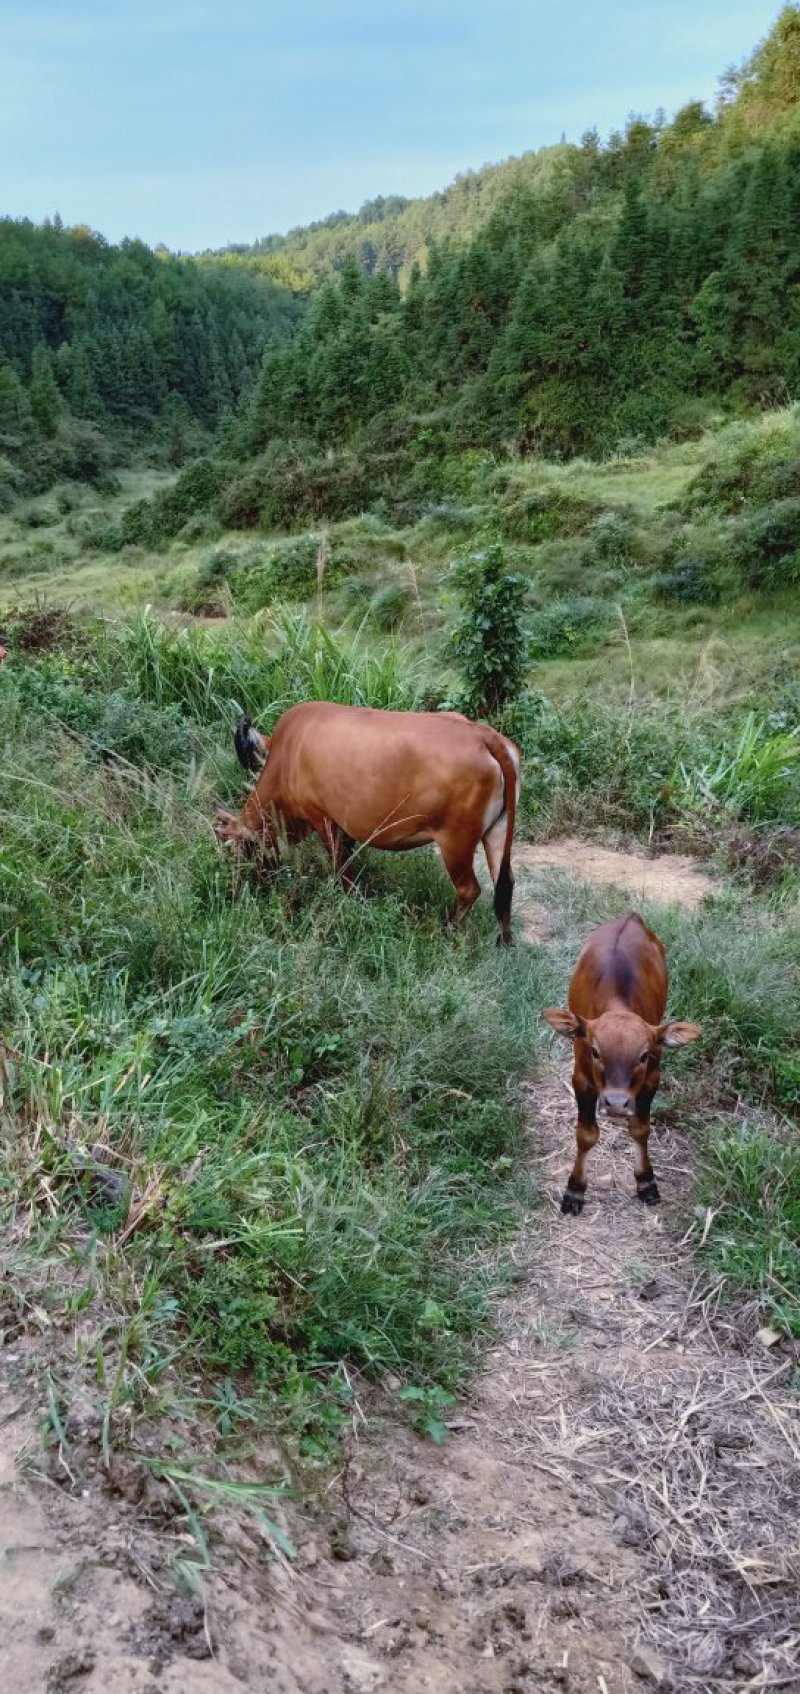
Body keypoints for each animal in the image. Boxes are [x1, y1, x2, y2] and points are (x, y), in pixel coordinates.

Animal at [215, 697, 522, 948]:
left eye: (238, 852)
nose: (234, 892)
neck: (284, 759)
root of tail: (482, 734)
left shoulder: (323, 819)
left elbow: (342, 870)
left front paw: (350, 905)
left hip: (455, 842)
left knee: (469, 890)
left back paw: (446, 931)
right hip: (496, 832)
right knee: (506, 882)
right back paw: (504, 943)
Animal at [542, 914, 698, 1219]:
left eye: (644, 1055)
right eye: (595, 1051)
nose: (615, 1103)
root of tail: (631, 917)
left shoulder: (652, 1078)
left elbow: (640, 1128)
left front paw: (646, 1182)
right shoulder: (581, 1078)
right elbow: (586, 1135)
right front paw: (574, 1190)